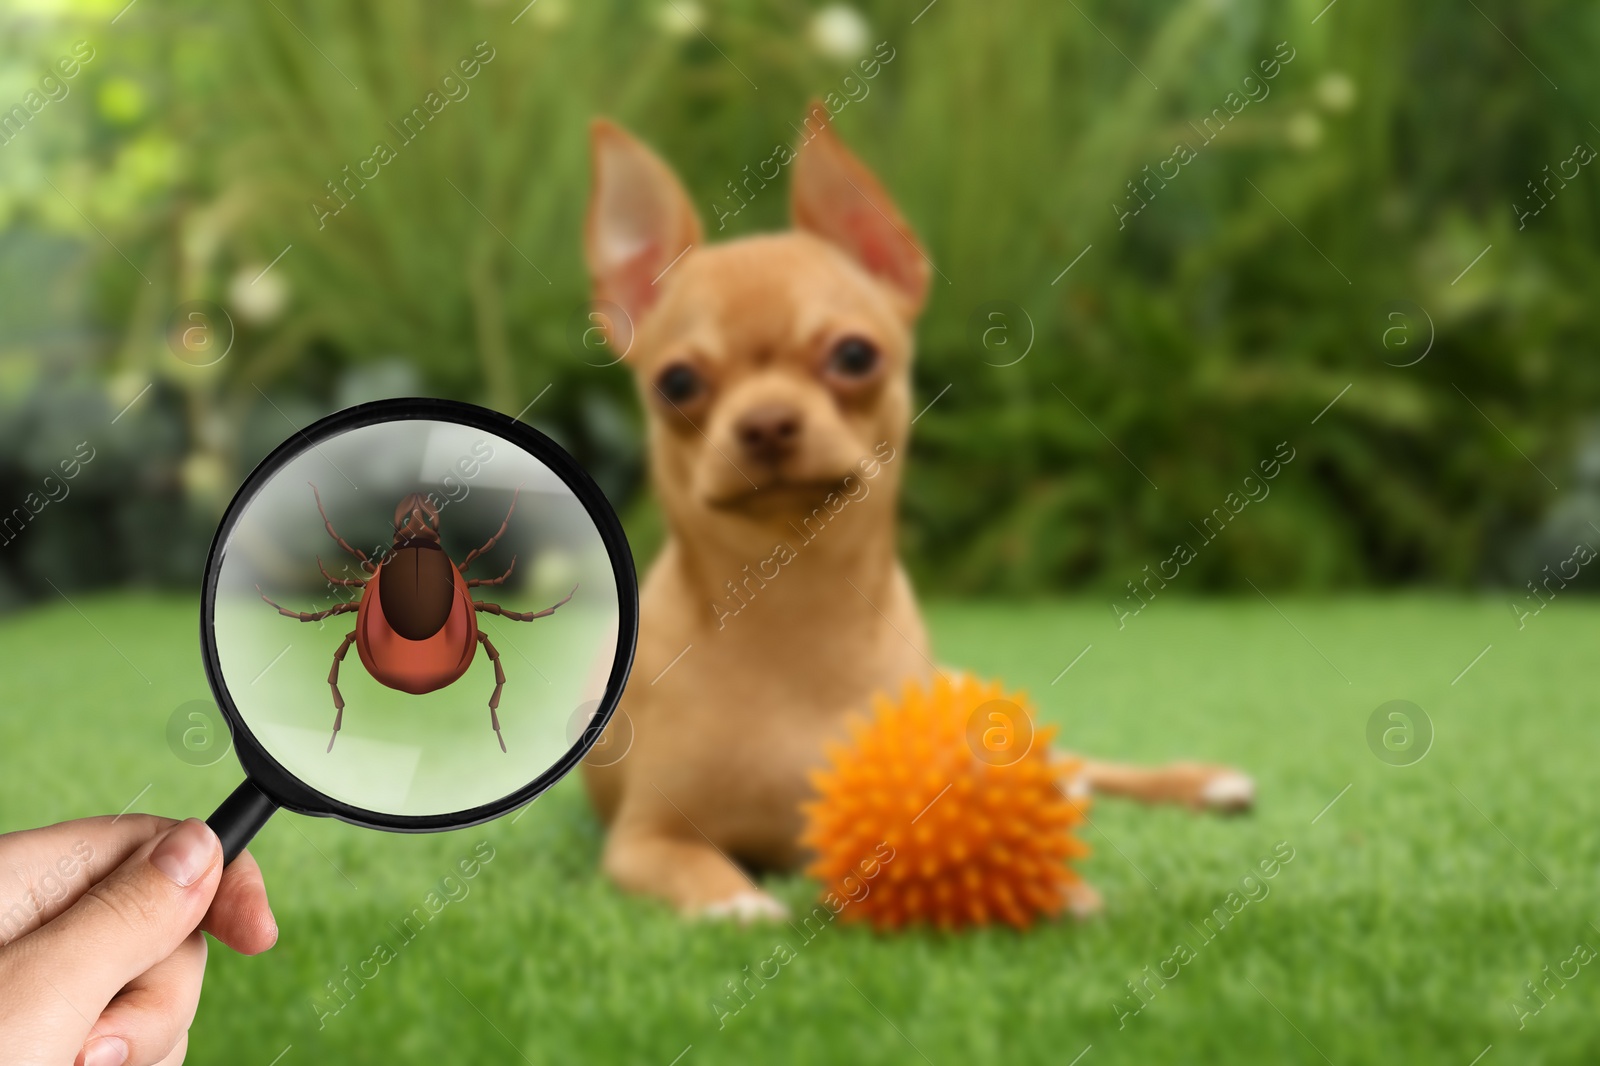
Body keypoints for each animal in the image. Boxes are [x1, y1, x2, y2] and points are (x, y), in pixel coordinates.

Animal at [576, 109, 1248, 921]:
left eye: (854, 356)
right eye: (675, 383)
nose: (766, 422)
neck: (794, 604)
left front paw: (1060, 888)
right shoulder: (643, 840)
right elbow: (695, 866)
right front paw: (736, 904)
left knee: (1082, 763)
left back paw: (1200, 781)